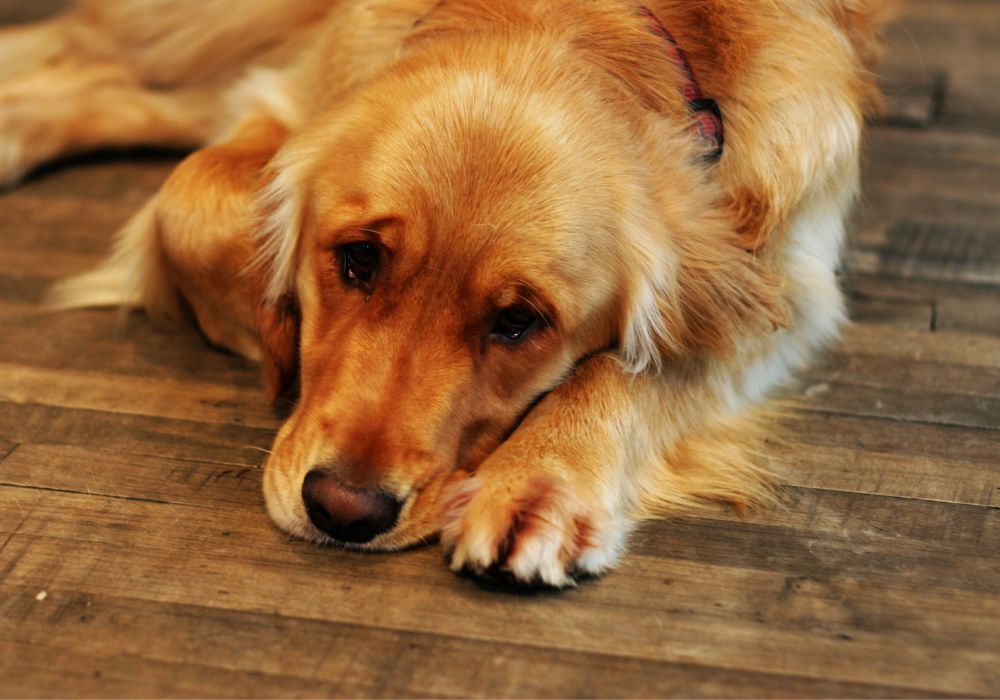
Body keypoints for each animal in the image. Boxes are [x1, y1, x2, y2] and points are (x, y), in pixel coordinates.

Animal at [3, 0, 896, 584]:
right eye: (357, 260)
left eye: (520, 320)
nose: (344, 509)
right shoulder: (297, 92)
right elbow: (191, 198)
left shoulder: (789, 285)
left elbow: (646, 366)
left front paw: (541, 479)